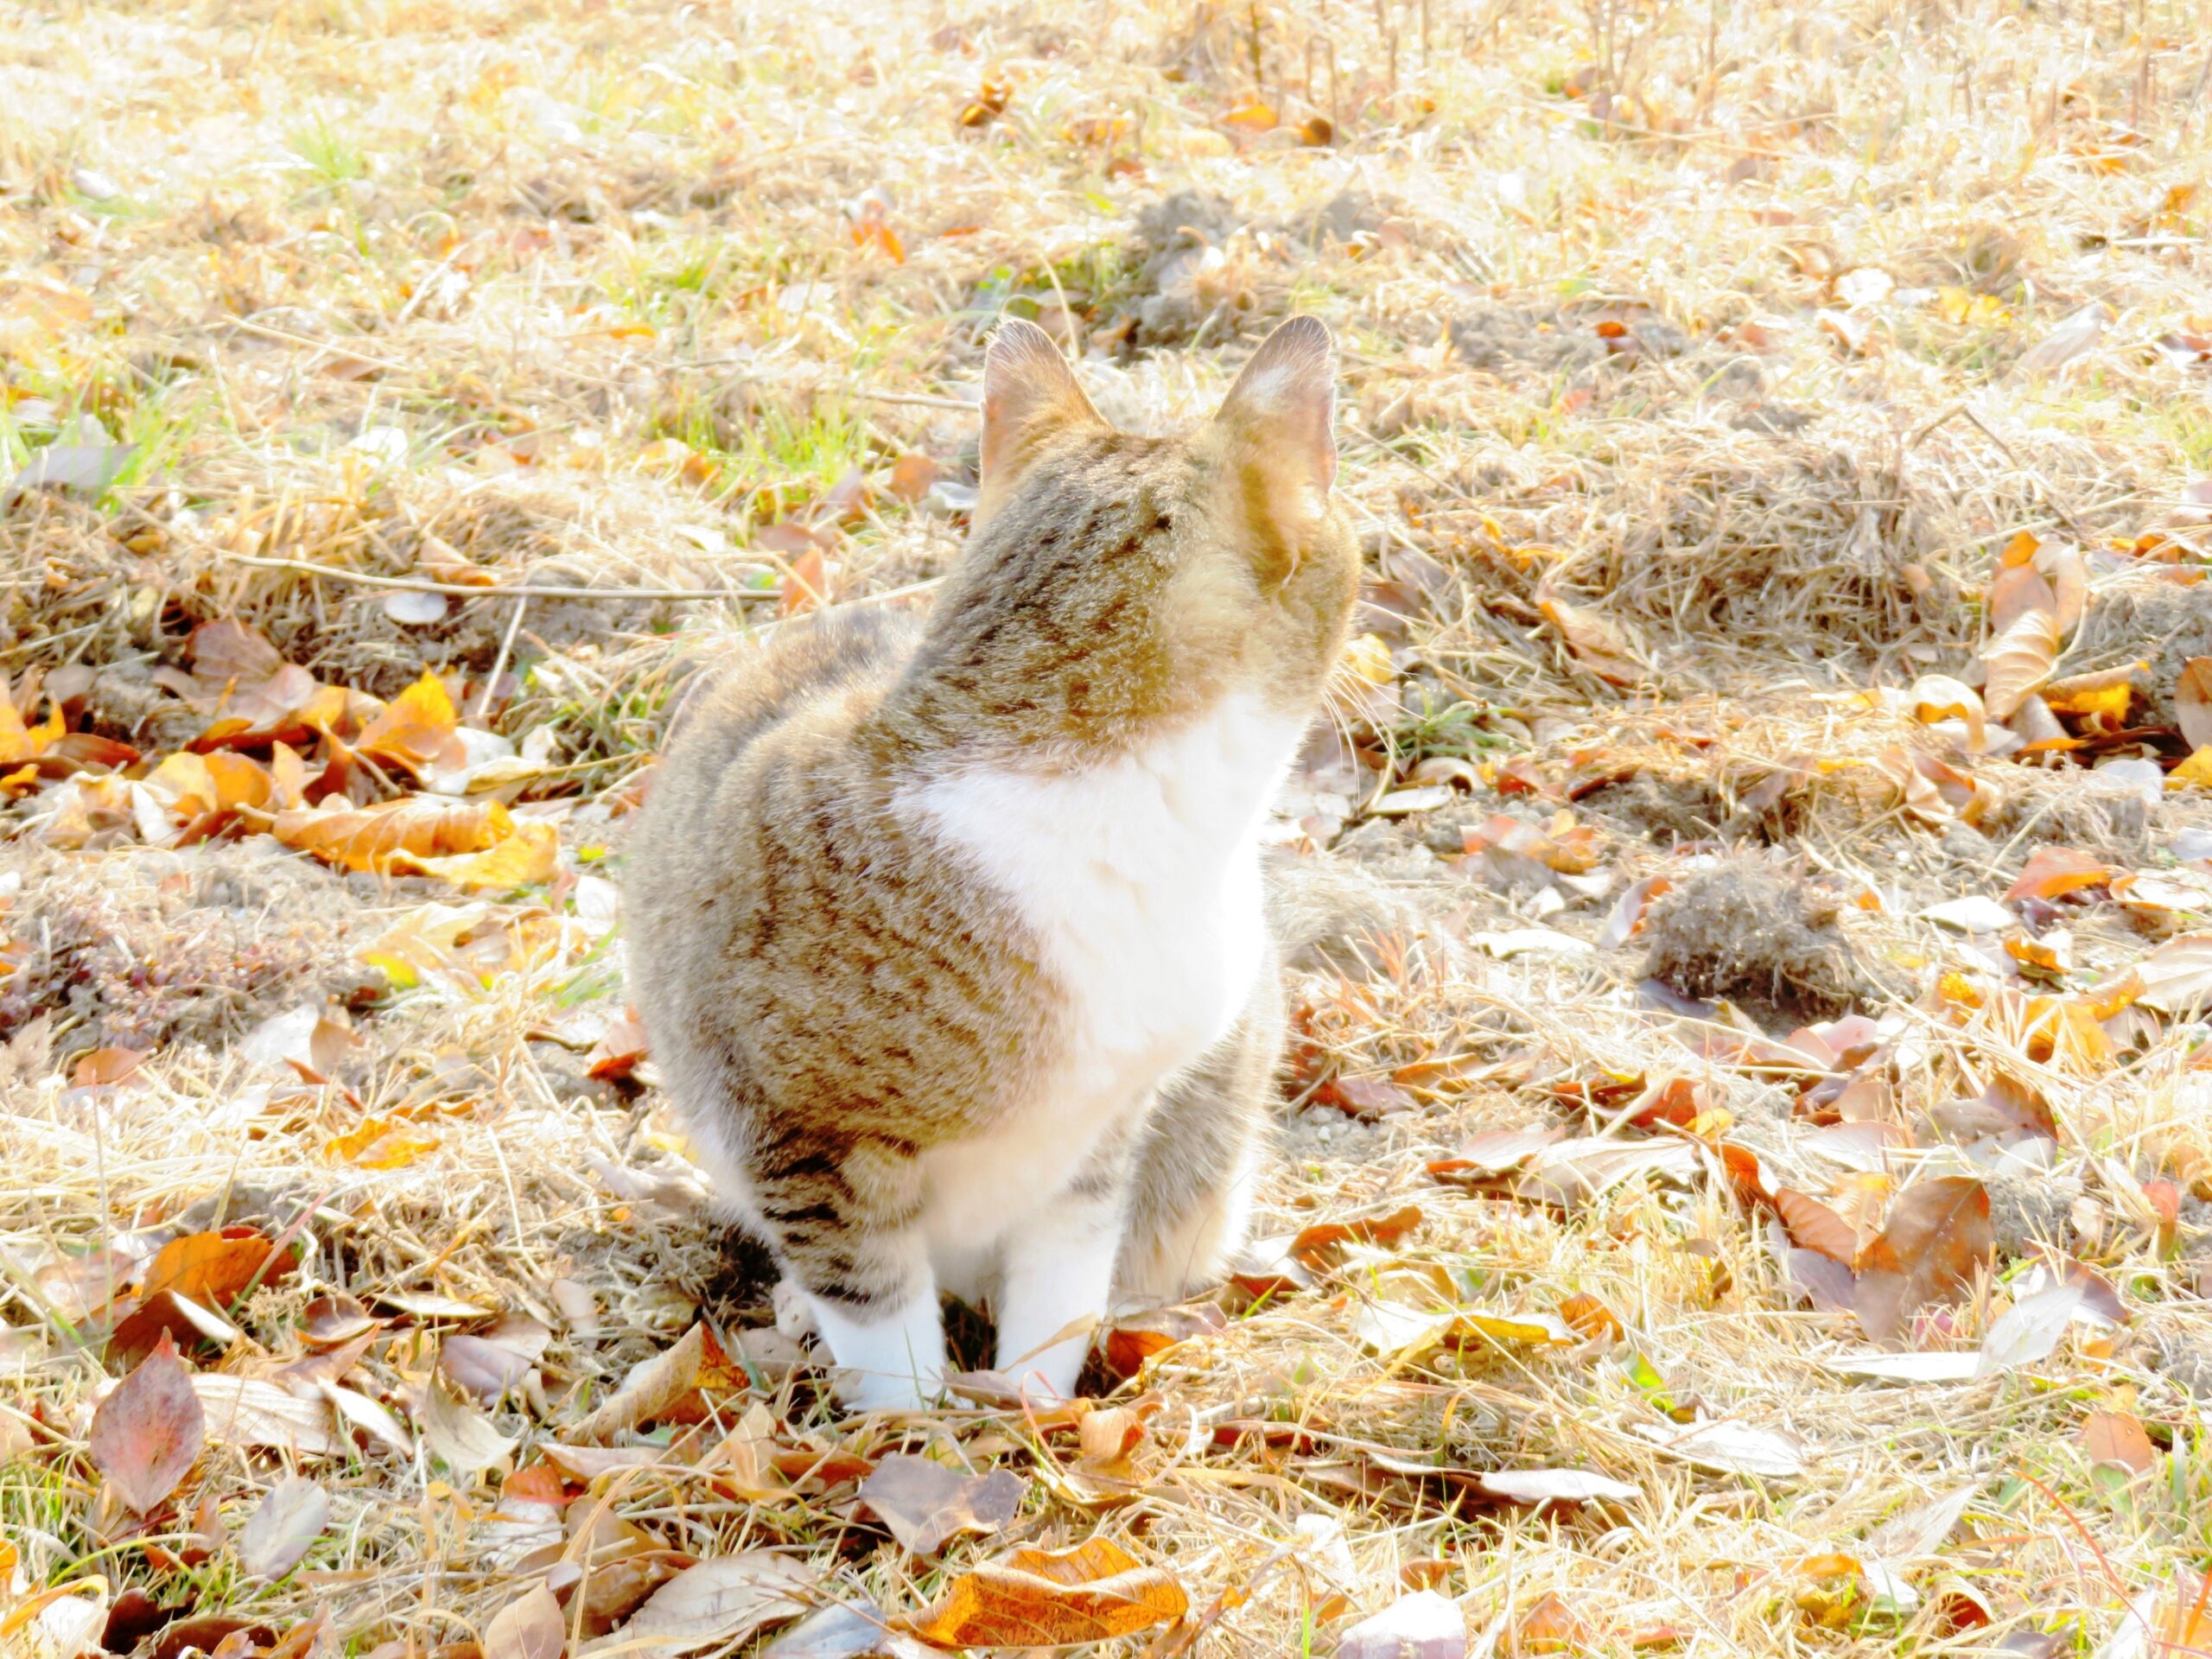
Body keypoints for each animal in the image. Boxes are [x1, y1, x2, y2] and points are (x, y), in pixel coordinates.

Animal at [619, 318, 1344, 1407]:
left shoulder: (1102, 1133)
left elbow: (1061, 1285)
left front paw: (1033, 1409)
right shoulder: (800, 1130)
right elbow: (875, 1304)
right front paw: (908, 1429)